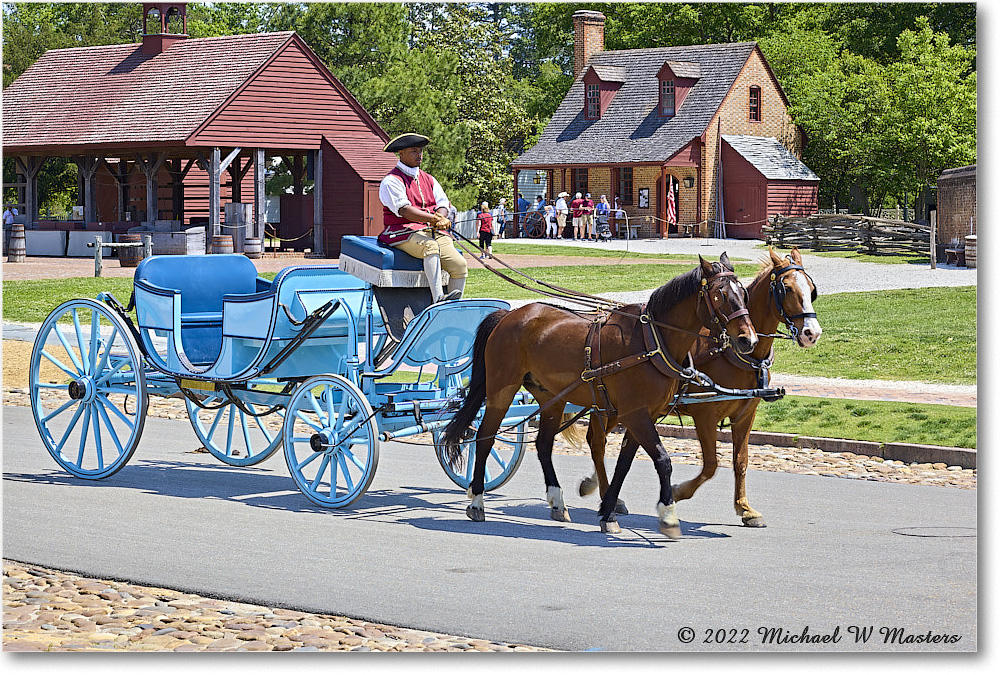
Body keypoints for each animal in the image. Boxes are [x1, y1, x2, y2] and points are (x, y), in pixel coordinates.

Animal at [440, 255, 756, 540]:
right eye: (720, 295)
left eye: (744, 294)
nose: (748, 340)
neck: (650, 341)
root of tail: (509, 316)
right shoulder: (636, 413)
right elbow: (663, 460)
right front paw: (667, 514)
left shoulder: (644, 414)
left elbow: (624, 464)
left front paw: (608, 512)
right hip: (501, 390)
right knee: (484, 438)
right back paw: (477, 500)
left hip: (551, 397)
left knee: (543, 444)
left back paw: (557, 501)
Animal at [580, 248, 820, 528]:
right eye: (787, 288)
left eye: (811, 289)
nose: (812, 333)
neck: (731, 353)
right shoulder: (705, 414)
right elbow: (711, 465)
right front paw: (677, 492)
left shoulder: (746, 414)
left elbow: (741, 460)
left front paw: (745, 508)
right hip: (610, 407)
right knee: (597, 442)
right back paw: (606, 496)